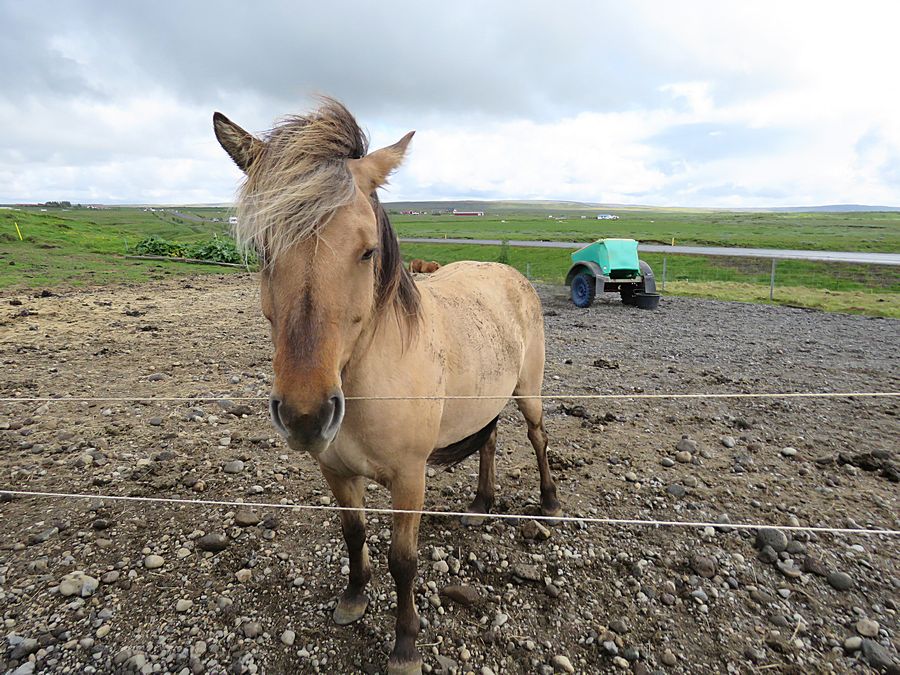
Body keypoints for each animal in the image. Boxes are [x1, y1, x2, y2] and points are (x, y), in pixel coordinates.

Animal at [213, 99, 561, 675]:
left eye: (367, 250)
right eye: (263, 249)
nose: (306, 414)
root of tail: (508, 273)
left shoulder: (409, 479)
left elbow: (404, 560)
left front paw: (405, 644)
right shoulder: (335, 471)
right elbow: (353, 534)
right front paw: (354, 599)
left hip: (527, 394)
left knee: (537, 437)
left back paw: (550, 502)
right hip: (482, 399)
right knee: (489, 438)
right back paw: (482, 501)